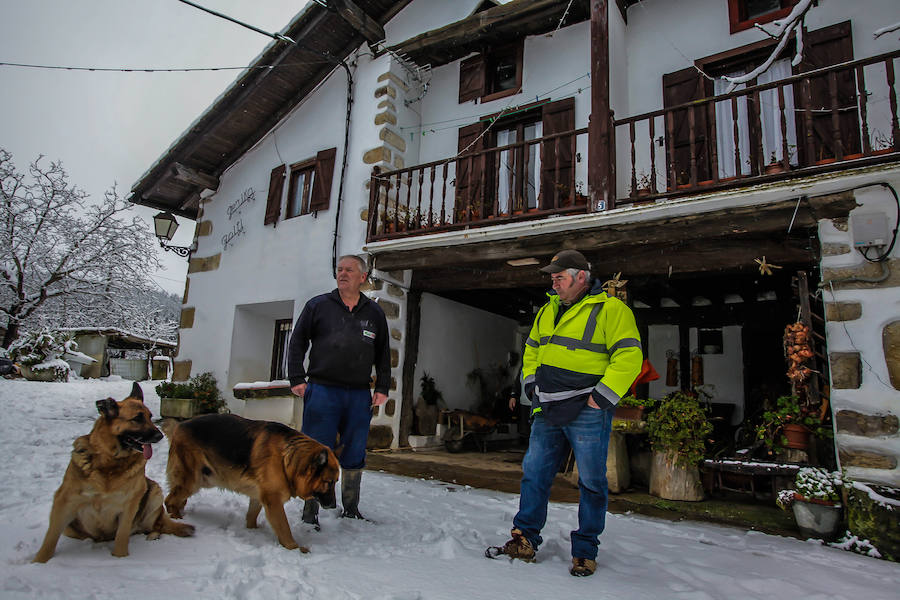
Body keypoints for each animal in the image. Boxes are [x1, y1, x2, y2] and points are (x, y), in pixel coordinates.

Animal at [33, 384, 195, 564]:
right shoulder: (64, 500)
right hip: (72, 527)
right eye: (137, 419)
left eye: (150, 417)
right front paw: (39, 561)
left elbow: (122, 536)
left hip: (153, 491)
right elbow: (51, 536)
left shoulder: (130, 504)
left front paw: (120, 558)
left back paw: (153, 535)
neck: (111, 463)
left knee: (155, 526)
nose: (159, 435)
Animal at [163, 414, 340, 552]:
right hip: (192, 481)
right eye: (329, 482)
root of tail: (179, 425)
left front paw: (252, 531)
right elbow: (284, 528)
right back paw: (177, 520)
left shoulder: (259, 497)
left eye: (336, 482)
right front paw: (294, 548)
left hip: (202, 480)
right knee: (169, 500)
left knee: (178, 499)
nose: (334, 506)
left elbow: (251, 516)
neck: (287, 459)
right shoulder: (273, 501)